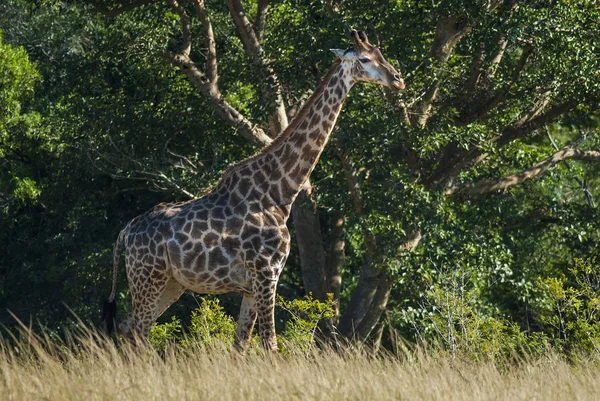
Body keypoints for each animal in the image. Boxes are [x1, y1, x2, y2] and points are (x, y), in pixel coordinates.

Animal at [104, 29, 404, 352]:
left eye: (381, 53)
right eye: (365, 59)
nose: (398, 78)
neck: (281, 191)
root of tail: (125, 232)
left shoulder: (251, 285)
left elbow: (241, 345)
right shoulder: (266, 274)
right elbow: (269, 343)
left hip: (172, 283)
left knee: (129, 327)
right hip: (149, 277)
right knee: (138, 330)